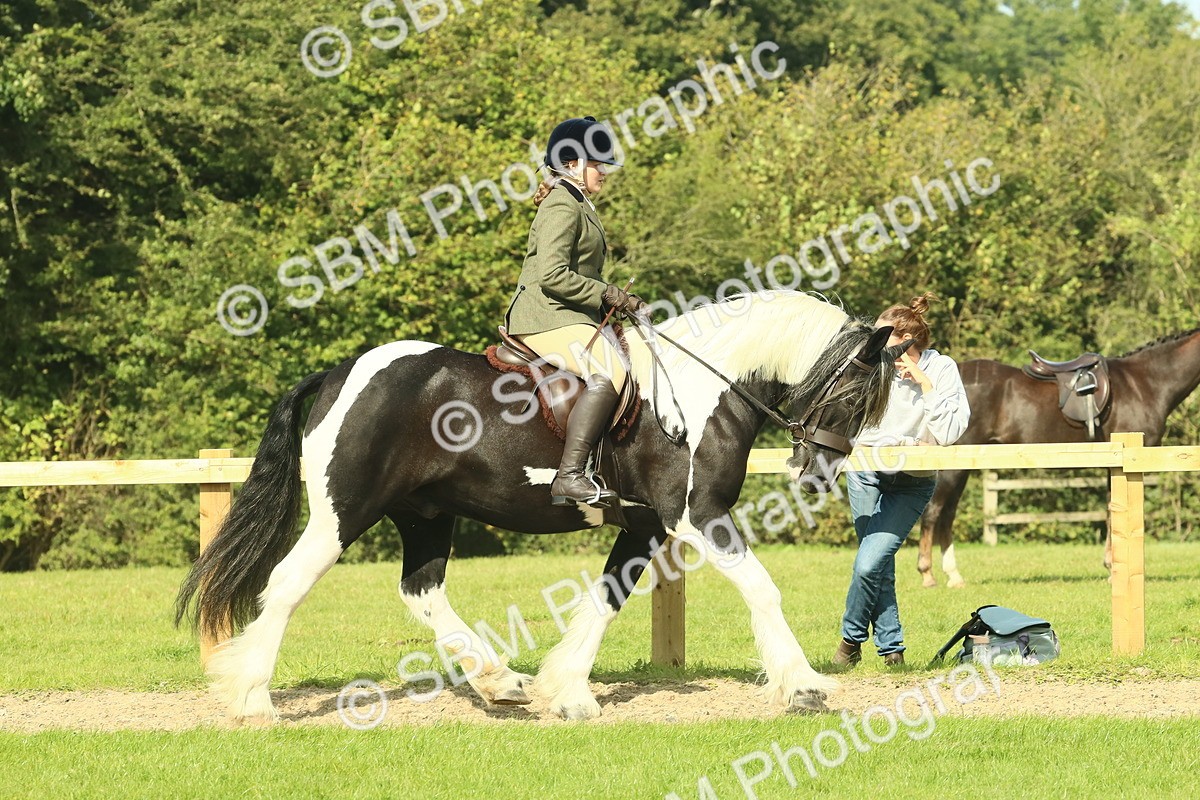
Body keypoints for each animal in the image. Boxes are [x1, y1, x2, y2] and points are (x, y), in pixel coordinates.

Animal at [176, 291, 907, 722]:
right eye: (854, 397)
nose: (818, 472)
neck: (700, 392)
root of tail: (337, 374)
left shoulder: (645, 525)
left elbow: (606, 600)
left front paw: (568, 690)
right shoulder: (694, 516)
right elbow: (761, 589)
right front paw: (804, 686)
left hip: (425, 513)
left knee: (422, 590)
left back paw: (502, 683)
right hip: (342, 513)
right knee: (287, 585)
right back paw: (253, 701)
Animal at [918, 326, 1200, 588]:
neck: (1146, 382)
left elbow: (1111, 510)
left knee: (947, 514)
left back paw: (954, 575)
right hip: (953, 467)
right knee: (934, 511)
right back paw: (928, 574)